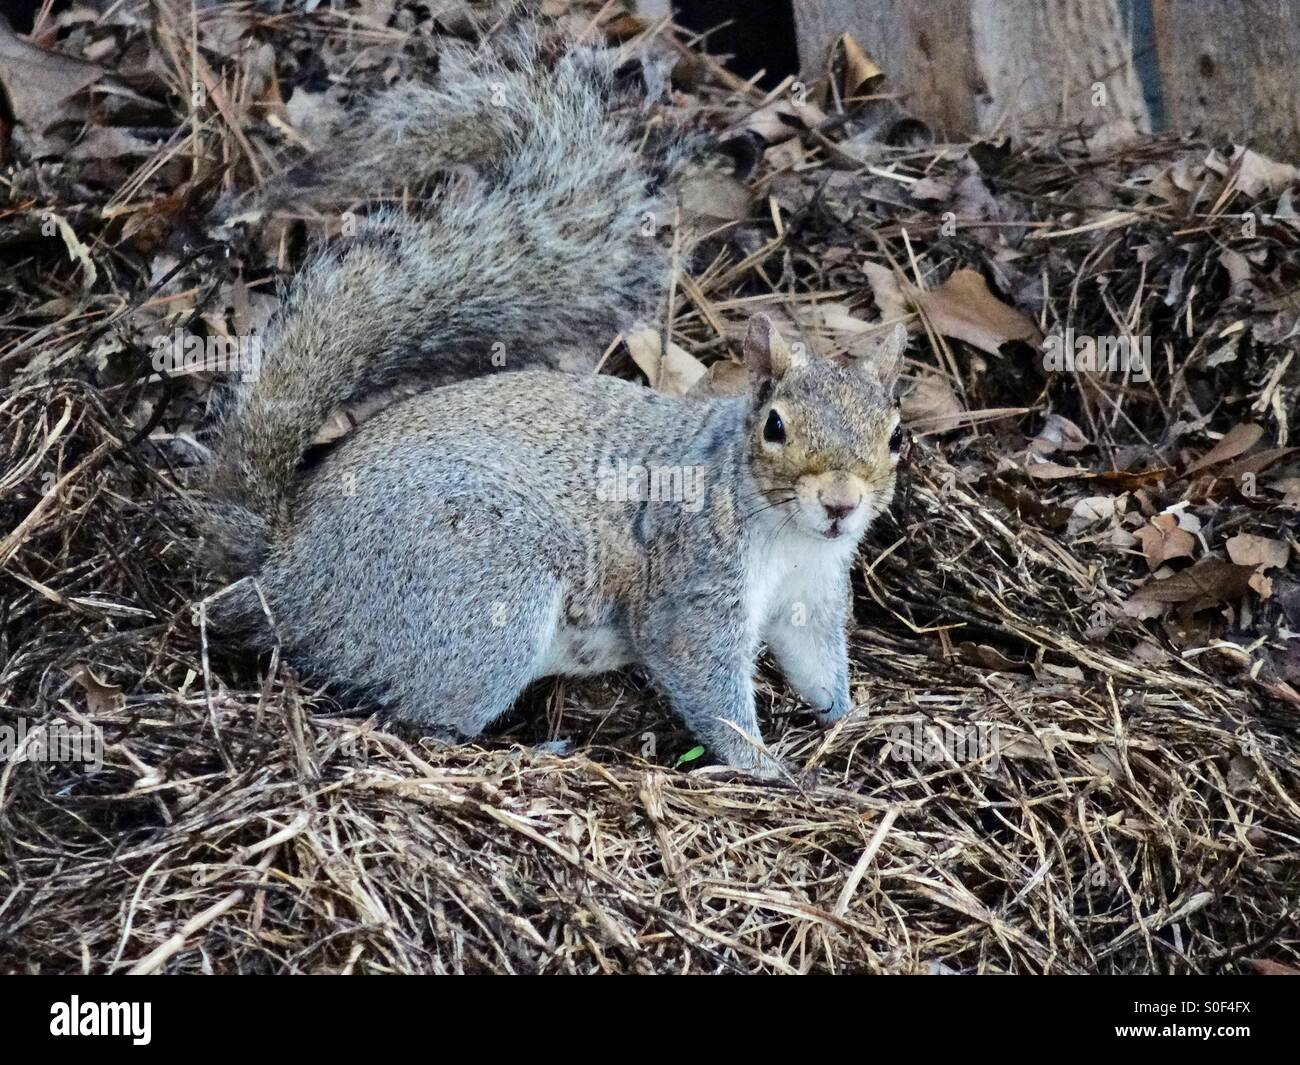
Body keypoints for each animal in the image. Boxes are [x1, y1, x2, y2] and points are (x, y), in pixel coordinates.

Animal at [199, 32, 906, 776]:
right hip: (483, 590)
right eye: (775, 427)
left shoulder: (811, 596)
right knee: (425, 717)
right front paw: (764, 765)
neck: (789, 533)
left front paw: (846, 715)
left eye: (896, 437)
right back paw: (533, 743)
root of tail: (289, 563)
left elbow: (814, 661)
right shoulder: (694, 582)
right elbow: (702, 675)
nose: (840, 504)